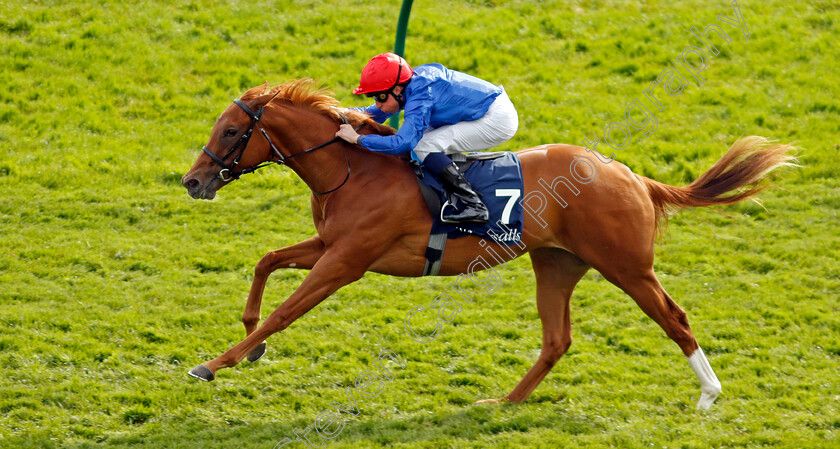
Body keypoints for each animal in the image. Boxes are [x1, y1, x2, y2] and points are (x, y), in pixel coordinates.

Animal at [182, 79, 796, 408]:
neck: (354, 169)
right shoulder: (330, 244)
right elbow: (266, 262)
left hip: (627, 266)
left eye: (232, 131)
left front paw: (215, 362)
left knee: (675, 317)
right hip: (557, 264)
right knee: (557, 339)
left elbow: (285, 311)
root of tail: (633, 176)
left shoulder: (346, 260)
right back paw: (505, 402)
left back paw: (709, 394)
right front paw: (249, 344)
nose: (192, 181)